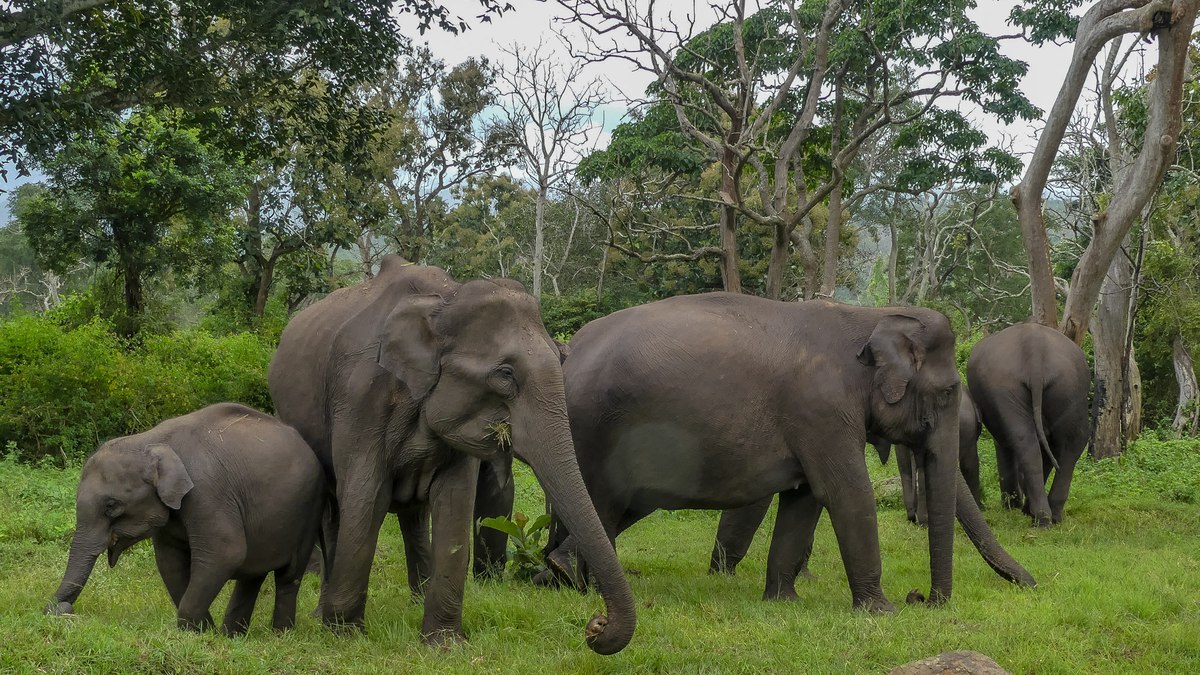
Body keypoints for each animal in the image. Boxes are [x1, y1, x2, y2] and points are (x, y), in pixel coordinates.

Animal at [45, 403, 324, 635]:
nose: (63, 609)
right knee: (252, 577)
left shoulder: (208, 492)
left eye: (111, 506)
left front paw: (195, 631)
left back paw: (280, 634)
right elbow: (170, 562)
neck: (152, 441)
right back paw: (232, 636)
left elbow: (226, 552)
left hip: (310, 508)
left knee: (288, 576)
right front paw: (202, 631)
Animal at [268, 256, 634, 653]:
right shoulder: (358, 399)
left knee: (413, 515)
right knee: (335, 513)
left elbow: (455, 502)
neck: (445, 300)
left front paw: (443, 645)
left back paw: (415, 601)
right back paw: (324, 615)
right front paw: (345, 636)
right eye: (505, 374)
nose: (595, 625)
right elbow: (367, 496)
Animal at [542, 294, 1034, 611]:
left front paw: (783, 602)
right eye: (949, 391)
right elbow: (846, 493)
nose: (924, 600)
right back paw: (573, 578)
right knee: (603, 504)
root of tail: (570, 351)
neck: (870, 317)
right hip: (595, 430)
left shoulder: (813, 424)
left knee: (609, 509)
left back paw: (556, 578)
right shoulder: (821, 410)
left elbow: (805, 499)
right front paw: (881, 611)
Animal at [967, 323, 1090, 527]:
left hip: (1008, 387)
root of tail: (1035, 348)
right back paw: (1051, 516)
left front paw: (1012, 506)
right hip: (1069, 386)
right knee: (1071, 442)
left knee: (1025, 441)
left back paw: (1040, 518)